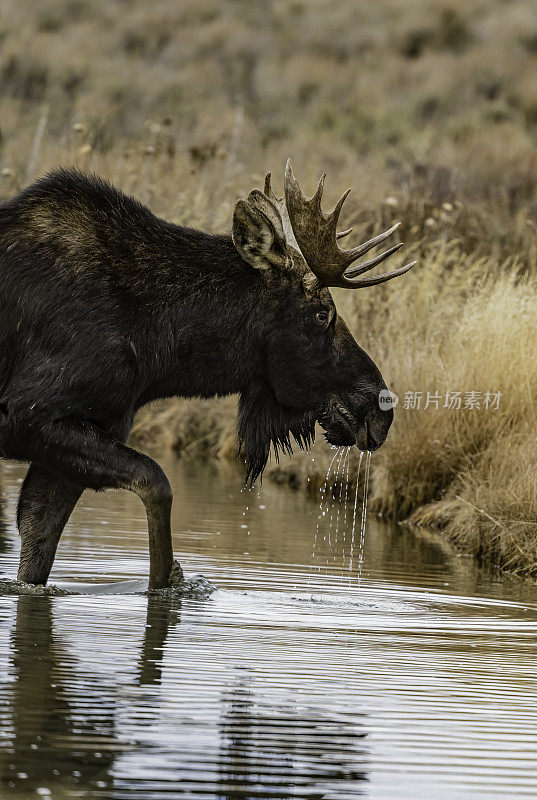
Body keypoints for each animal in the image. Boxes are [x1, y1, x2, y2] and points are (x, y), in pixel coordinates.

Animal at [0, 159, 414, 592]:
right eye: (322, 313)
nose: (381, 408)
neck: (160, 350)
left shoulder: (89, 428)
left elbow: (36, 549)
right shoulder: (27, 414)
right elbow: (156, 482)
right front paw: (169, 579)